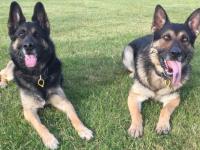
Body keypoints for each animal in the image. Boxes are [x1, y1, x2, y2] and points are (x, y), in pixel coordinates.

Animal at [0, 1, 93, 149]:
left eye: (37, 34)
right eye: (21, 35)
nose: (28, 46)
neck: (38, 75)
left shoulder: (63, 100)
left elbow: (74, 116)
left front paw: (83, 129)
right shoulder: (28, 110)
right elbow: (40, 126)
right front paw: (49, 139)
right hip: (11, 72)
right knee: (2, 73)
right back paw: (2, 83)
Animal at [122, 4, 200, 137]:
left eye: (185, 39)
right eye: (166, 37)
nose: (176, 53)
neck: (159, 76)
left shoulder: (174, 99)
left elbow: (165, 110)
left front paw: (163, 125)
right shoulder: (134, 96)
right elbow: (136, 113)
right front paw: (136, 127)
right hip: (128, 52)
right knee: (131, 68)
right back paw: (133, 74)